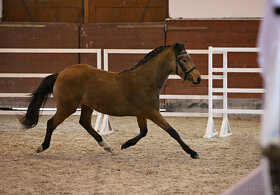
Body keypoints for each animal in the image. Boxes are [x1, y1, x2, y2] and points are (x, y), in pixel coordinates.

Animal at [18, 42, 201, 158]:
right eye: (184, 59)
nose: (198, 78)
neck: (145, 80)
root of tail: (61, 73)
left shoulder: (142, 114)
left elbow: (143, 132)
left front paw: (125, 144)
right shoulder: (152, 112)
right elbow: (172, 131)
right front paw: (193, 152)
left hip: (86, 106)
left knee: (85, 123)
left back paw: (107, 147)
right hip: (67, 107)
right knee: (51, 123)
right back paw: (42, 147)